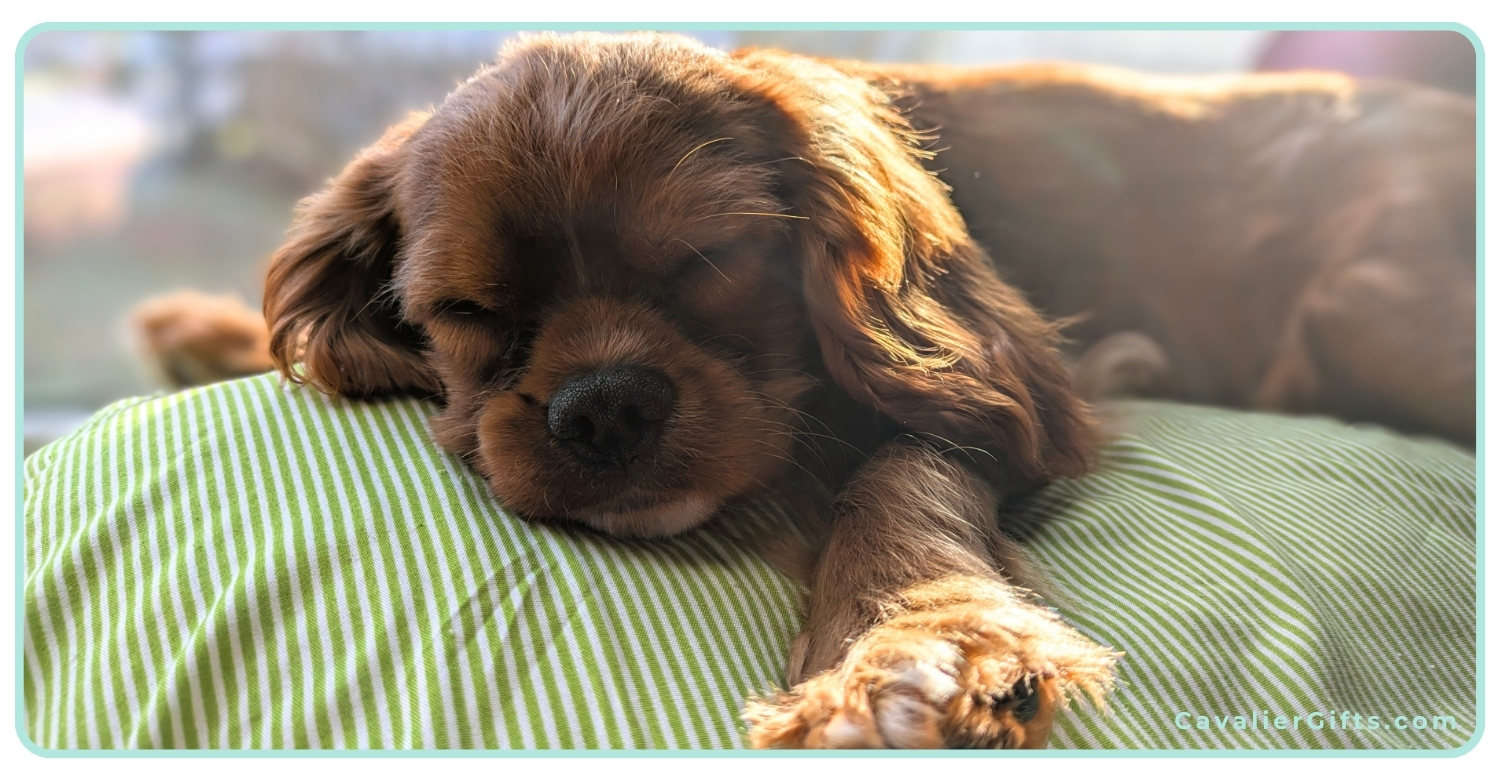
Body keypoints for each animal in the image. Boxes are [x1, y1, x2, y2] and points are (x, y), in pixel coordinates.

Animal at [138, 32, 1476, 750]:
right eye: (467, 312)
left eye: (706, 262)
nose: (605, 406)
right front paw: (211, 331)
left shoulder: (1001, 390)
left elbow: (900, 474)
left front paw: (907, 652)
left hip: (1367, 304)